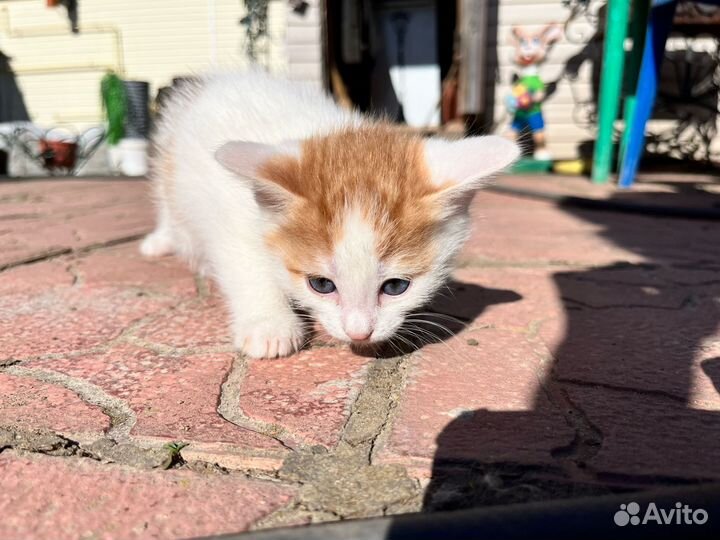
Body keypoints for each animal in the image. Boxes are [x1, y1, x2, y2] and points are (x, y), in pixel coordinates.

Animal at [139, 70, 516, 358]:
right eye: (321, 285)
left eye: (396, 286)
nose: (359, 332)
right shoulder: (231, 217)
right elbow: (246, 267)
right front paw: (269, 326)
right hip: (171, 160)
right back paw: (160, 242)